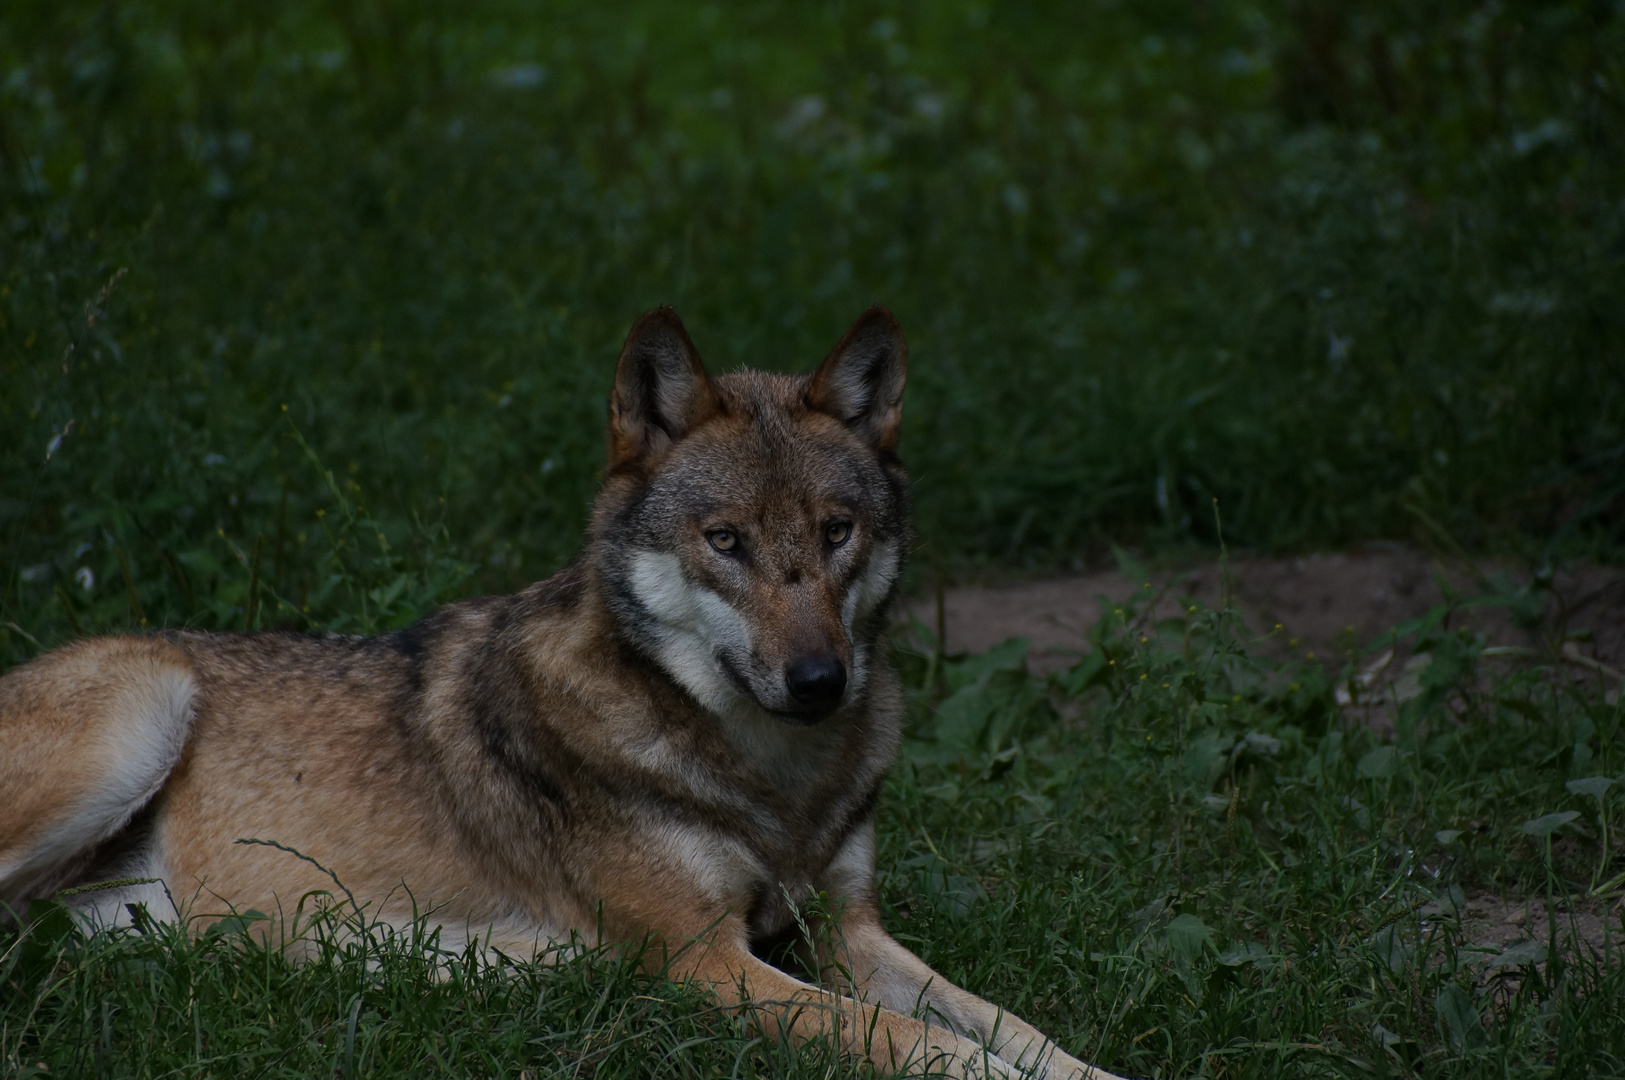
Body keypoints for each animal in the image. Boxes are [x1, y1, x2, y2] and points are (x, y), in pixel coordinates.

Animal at [0, 306, 1124, 1071]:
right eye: (726, 541)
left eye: (835, 531)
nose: (818, 681)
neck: (775, 786)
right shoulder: (702, 963)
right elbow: (921, 1044)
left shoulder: (846, 934)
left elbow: (1016, 1028)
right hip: (142, 712)